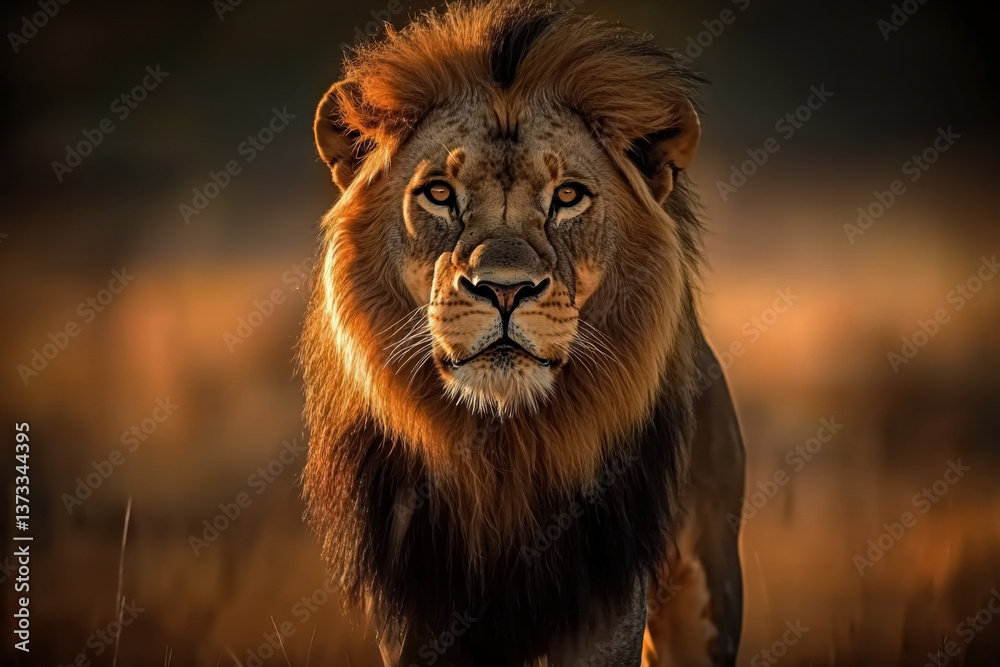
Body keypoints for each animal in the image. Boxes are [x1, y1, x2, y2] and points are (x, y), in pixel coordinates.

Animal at [300, 1, 746, 665]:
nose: (505, 289)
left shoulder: (602, 601)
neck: (502, 445)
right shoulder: (416, 608)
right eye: (439, 193)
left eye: (568, 195)